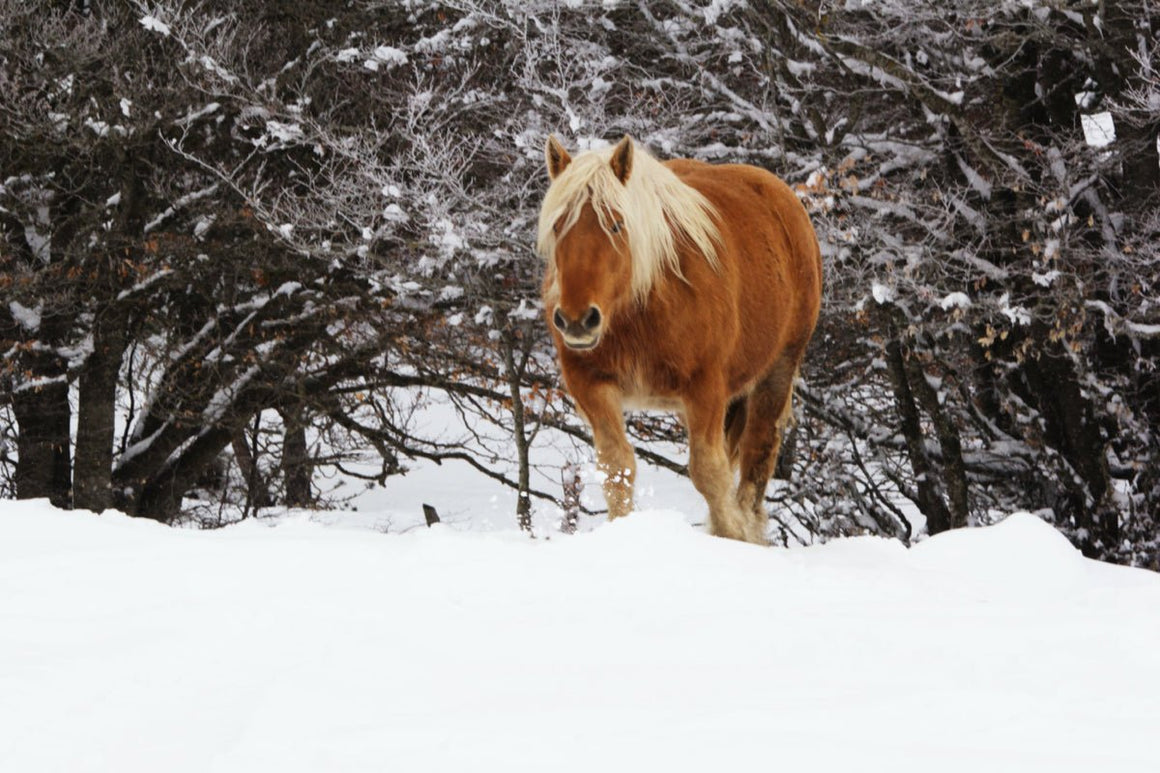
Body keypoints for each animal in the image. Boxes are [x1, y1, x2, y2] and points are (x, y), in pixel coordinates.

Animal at [536, 135, 823, 544]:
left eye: (616, 225)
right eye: (558, 225)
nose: (577, 320)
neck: (641, 309)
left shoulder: (706, 389)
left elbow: (709, 473)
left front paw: (731, 535)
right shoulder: (590, 383)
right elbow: (617, 467)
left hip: (777, 372)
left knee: (757, 457)